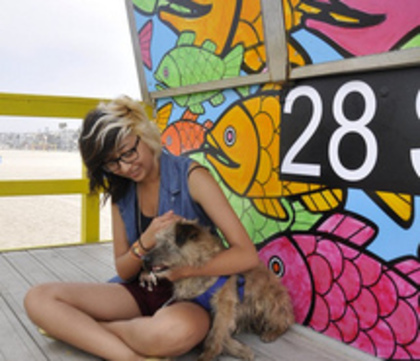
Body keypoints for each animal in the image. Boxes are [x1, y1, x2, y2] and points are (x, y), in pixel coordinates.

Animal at [144, 219, 296, 360]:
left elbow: (216, 333)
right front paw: (238, 349)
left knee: (285, 321)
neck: (200, 266)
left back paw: (272, 332)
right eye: (156, 242)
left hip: (269, 301)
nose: (144, 258)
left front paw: (209, 354)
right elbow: (218, 333)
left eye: (167, 243)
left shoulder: (224, 305)